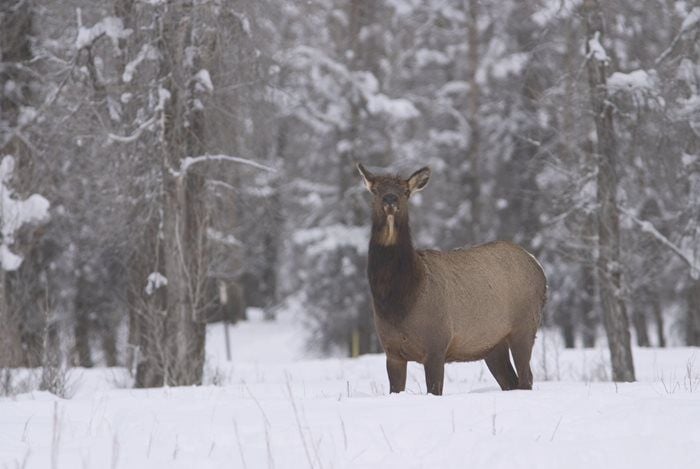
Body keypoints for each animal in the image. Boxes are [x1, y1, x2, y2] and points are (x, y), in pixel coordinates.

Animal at [356, 163, 548, 394]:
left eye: (405, 191)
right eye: (375, 190)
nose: (390, 199)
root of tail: (538, 268)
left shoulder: (436, 344)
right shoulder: (392, 351)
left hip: (525, 325)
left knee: (526, 378)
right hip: (493, 344)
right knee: (511, 381)